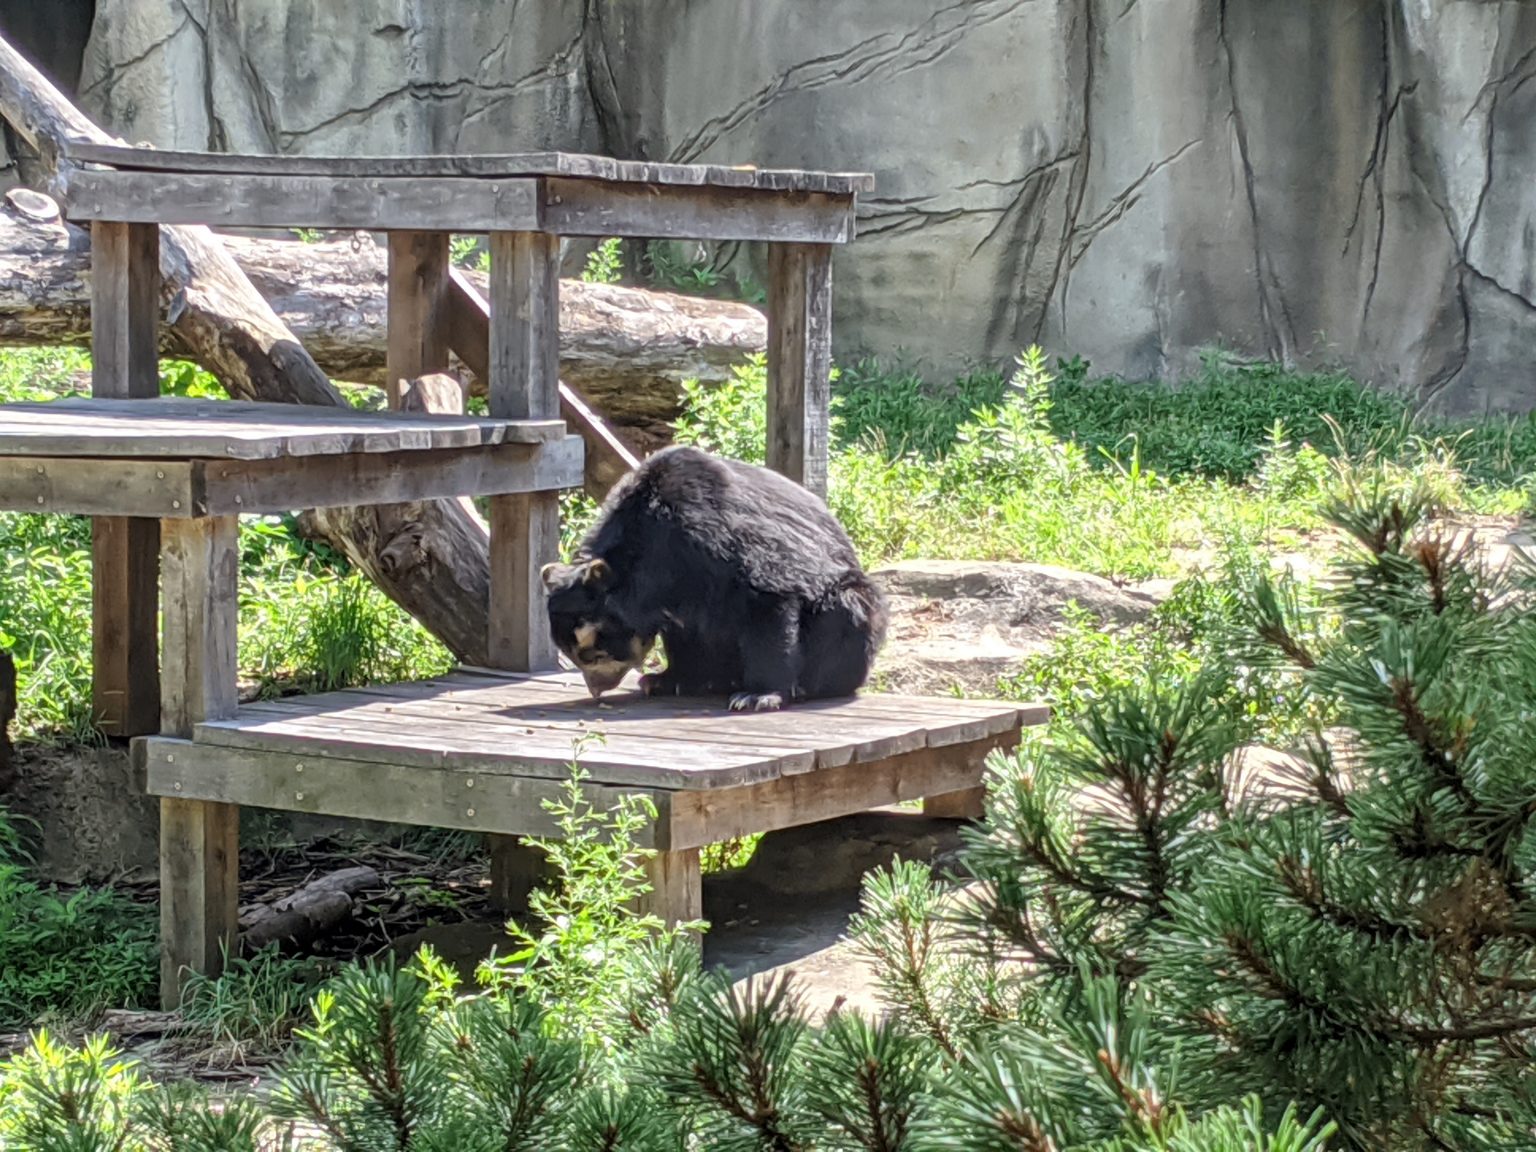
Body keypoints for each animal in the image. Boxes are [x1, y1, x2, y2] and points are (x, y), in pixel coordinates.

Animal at [537, 445, 890, 709]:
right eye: (575, 655)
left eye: (594, 653)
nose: (598, 688)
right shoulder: (672, 592)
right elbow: (683, 632)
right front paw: (665, 681)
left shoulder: (716, 535)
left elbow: (769, 596)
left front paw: (757, 696)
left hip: (850, 605)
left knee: (847, 608)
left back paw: (809, 685)